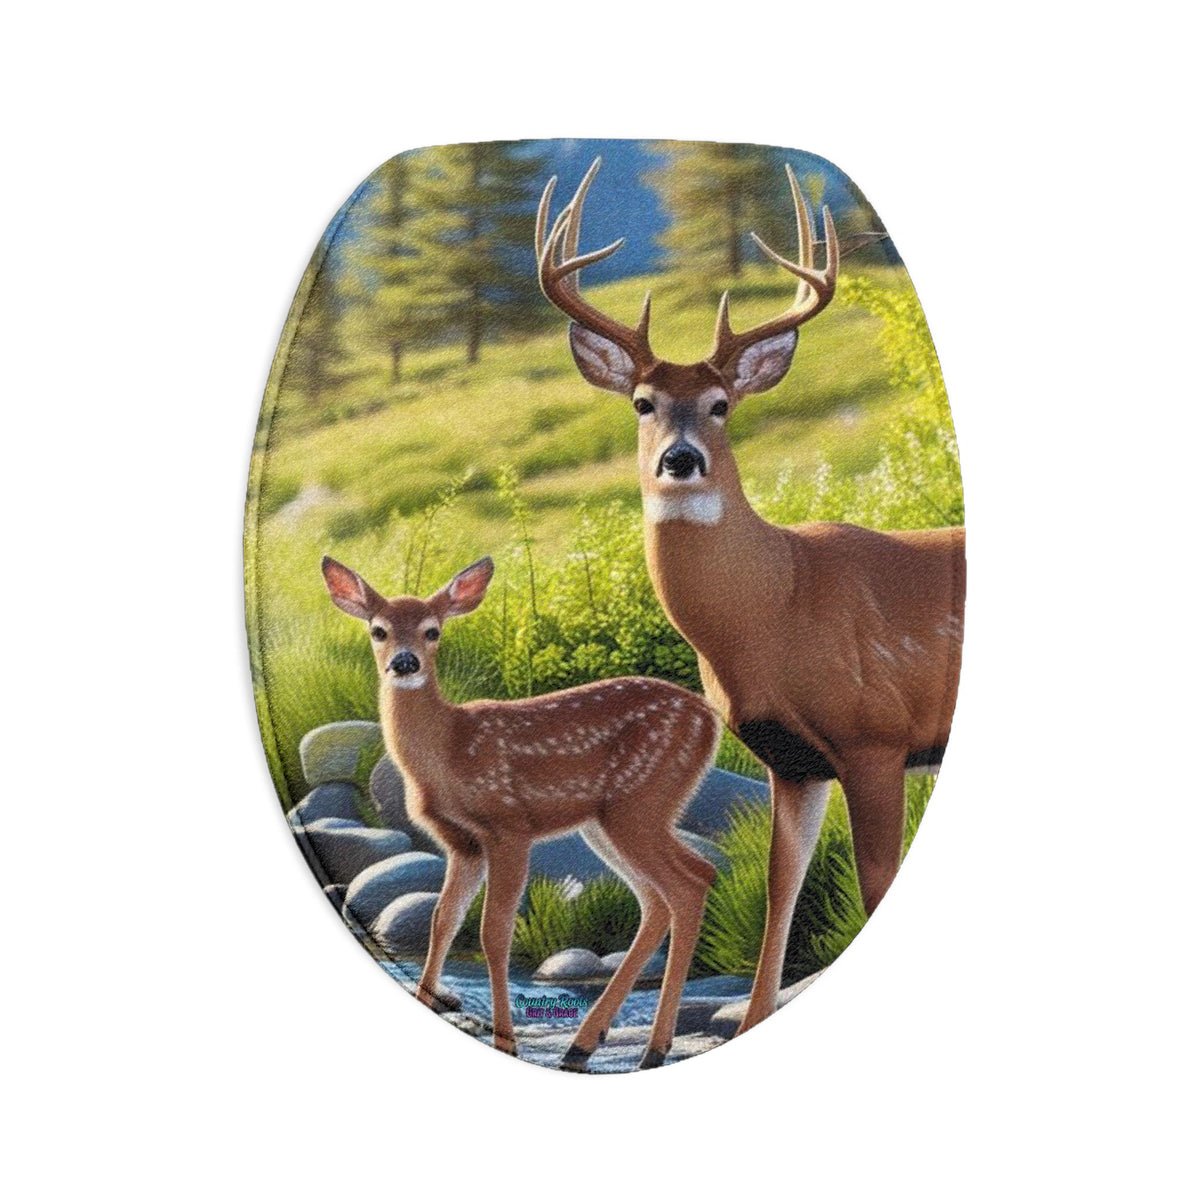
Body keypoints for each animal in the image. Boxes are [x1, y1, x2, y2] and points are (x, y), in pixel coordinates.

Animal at [321, 554, 722, 1070]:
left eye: (432, 631)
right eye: (378, 630)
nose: (404, 662)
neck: (448, 750)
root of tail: (710, 719)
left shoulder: (507, 826)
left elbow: (494, 933)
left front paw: (506, 1041)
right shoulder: (462, 844)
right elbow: (443, 920)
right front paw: (434, 1000)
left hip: (641, 802)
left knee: (689, 883)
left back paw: (649, 1048)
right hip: (607, 821)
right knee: (661, 897)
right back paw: (586, 1045)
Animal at [536, 158, 966, 1037]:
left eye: (722, 404)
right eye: (643, 402)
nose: (681, 459)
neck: (777, 607)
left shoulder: (876, 737)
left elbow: (873, 885)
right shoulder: (790, 758)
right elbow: (779, 888)